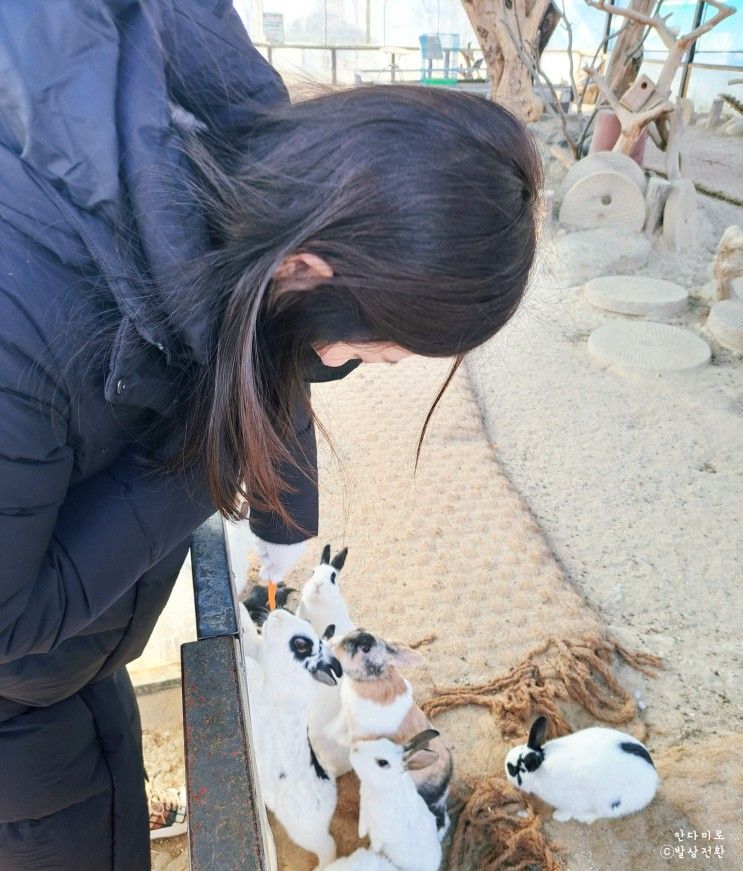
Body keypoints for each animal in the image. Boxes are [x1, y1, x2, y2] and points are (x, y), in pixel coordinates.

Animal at [248, 608, 344, 868]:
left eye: (301, 644)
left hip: (305, 833)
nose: (278, 614)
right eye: (306, 621)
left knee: (328, 847)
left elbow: (251, 668)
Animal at [348, 732, 442, 871]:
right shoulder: (364, 810)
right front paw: (361, 834)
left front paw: (371, 851)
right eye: (383, 740)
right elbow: (363, 823)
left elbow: (376, 843)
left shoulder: (380, 832)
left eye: (382, 762)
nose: (354, 748)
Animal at [506, 716, 656, 824]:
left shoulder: (569, 801)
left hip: (608, 803)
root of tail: (654, 779)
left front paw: (558, 816)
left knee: (599, 813)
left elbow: (567, 811)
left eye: (515, 770)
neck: (541, 767)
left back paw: (583, 817)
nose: (505, 765)